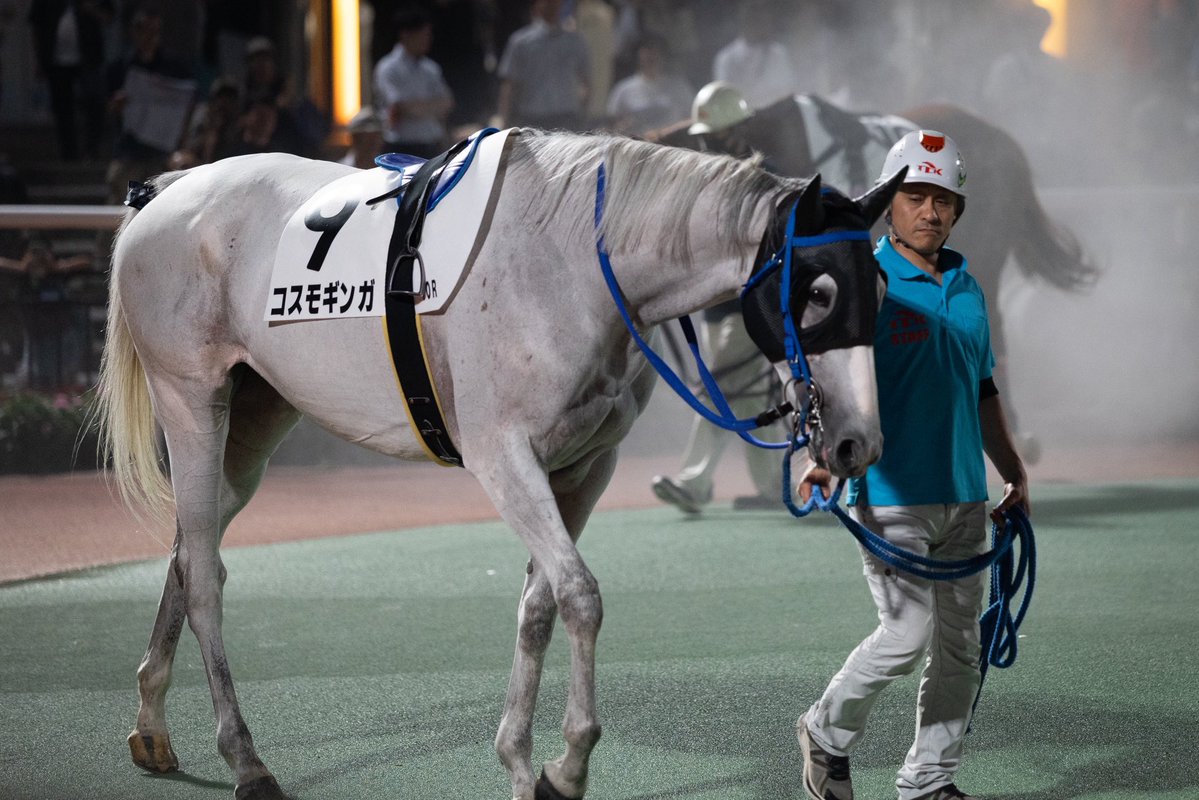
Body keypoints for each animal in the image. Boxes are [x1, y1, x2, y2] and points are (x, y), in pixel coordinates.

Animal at [94, 128, 904, 800]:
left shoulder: (584, 465)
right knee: (204, 573)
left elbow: (538, 604)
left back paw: (152, 725)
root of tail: (169, 191)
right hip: (191, 401)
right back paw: (246, 760)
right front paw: (568, 766)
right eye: (820, 292)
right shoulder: (502, 456)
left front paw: (521, 760)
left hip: (257, 419)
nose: (857, 442)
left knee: (187, 549)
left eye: (882, 287)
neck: (572, 261)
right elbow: (579, 595)